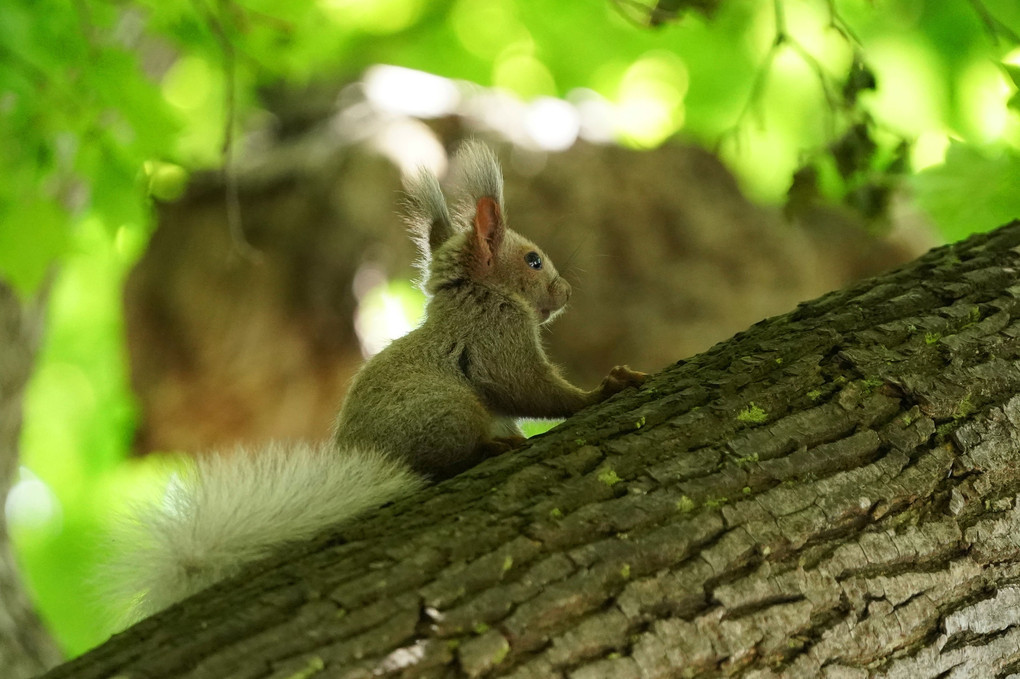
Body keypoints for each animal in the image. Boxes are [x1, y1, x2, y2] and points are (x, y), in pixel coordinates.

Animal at [113, 141, 644, 619]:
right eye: (533, 260)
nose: (567, 291)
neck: (477, 294)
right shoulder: (496, 337)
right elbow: (531, 388)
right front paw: (602, 389)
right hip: (449, 413)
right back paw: (490, 449)